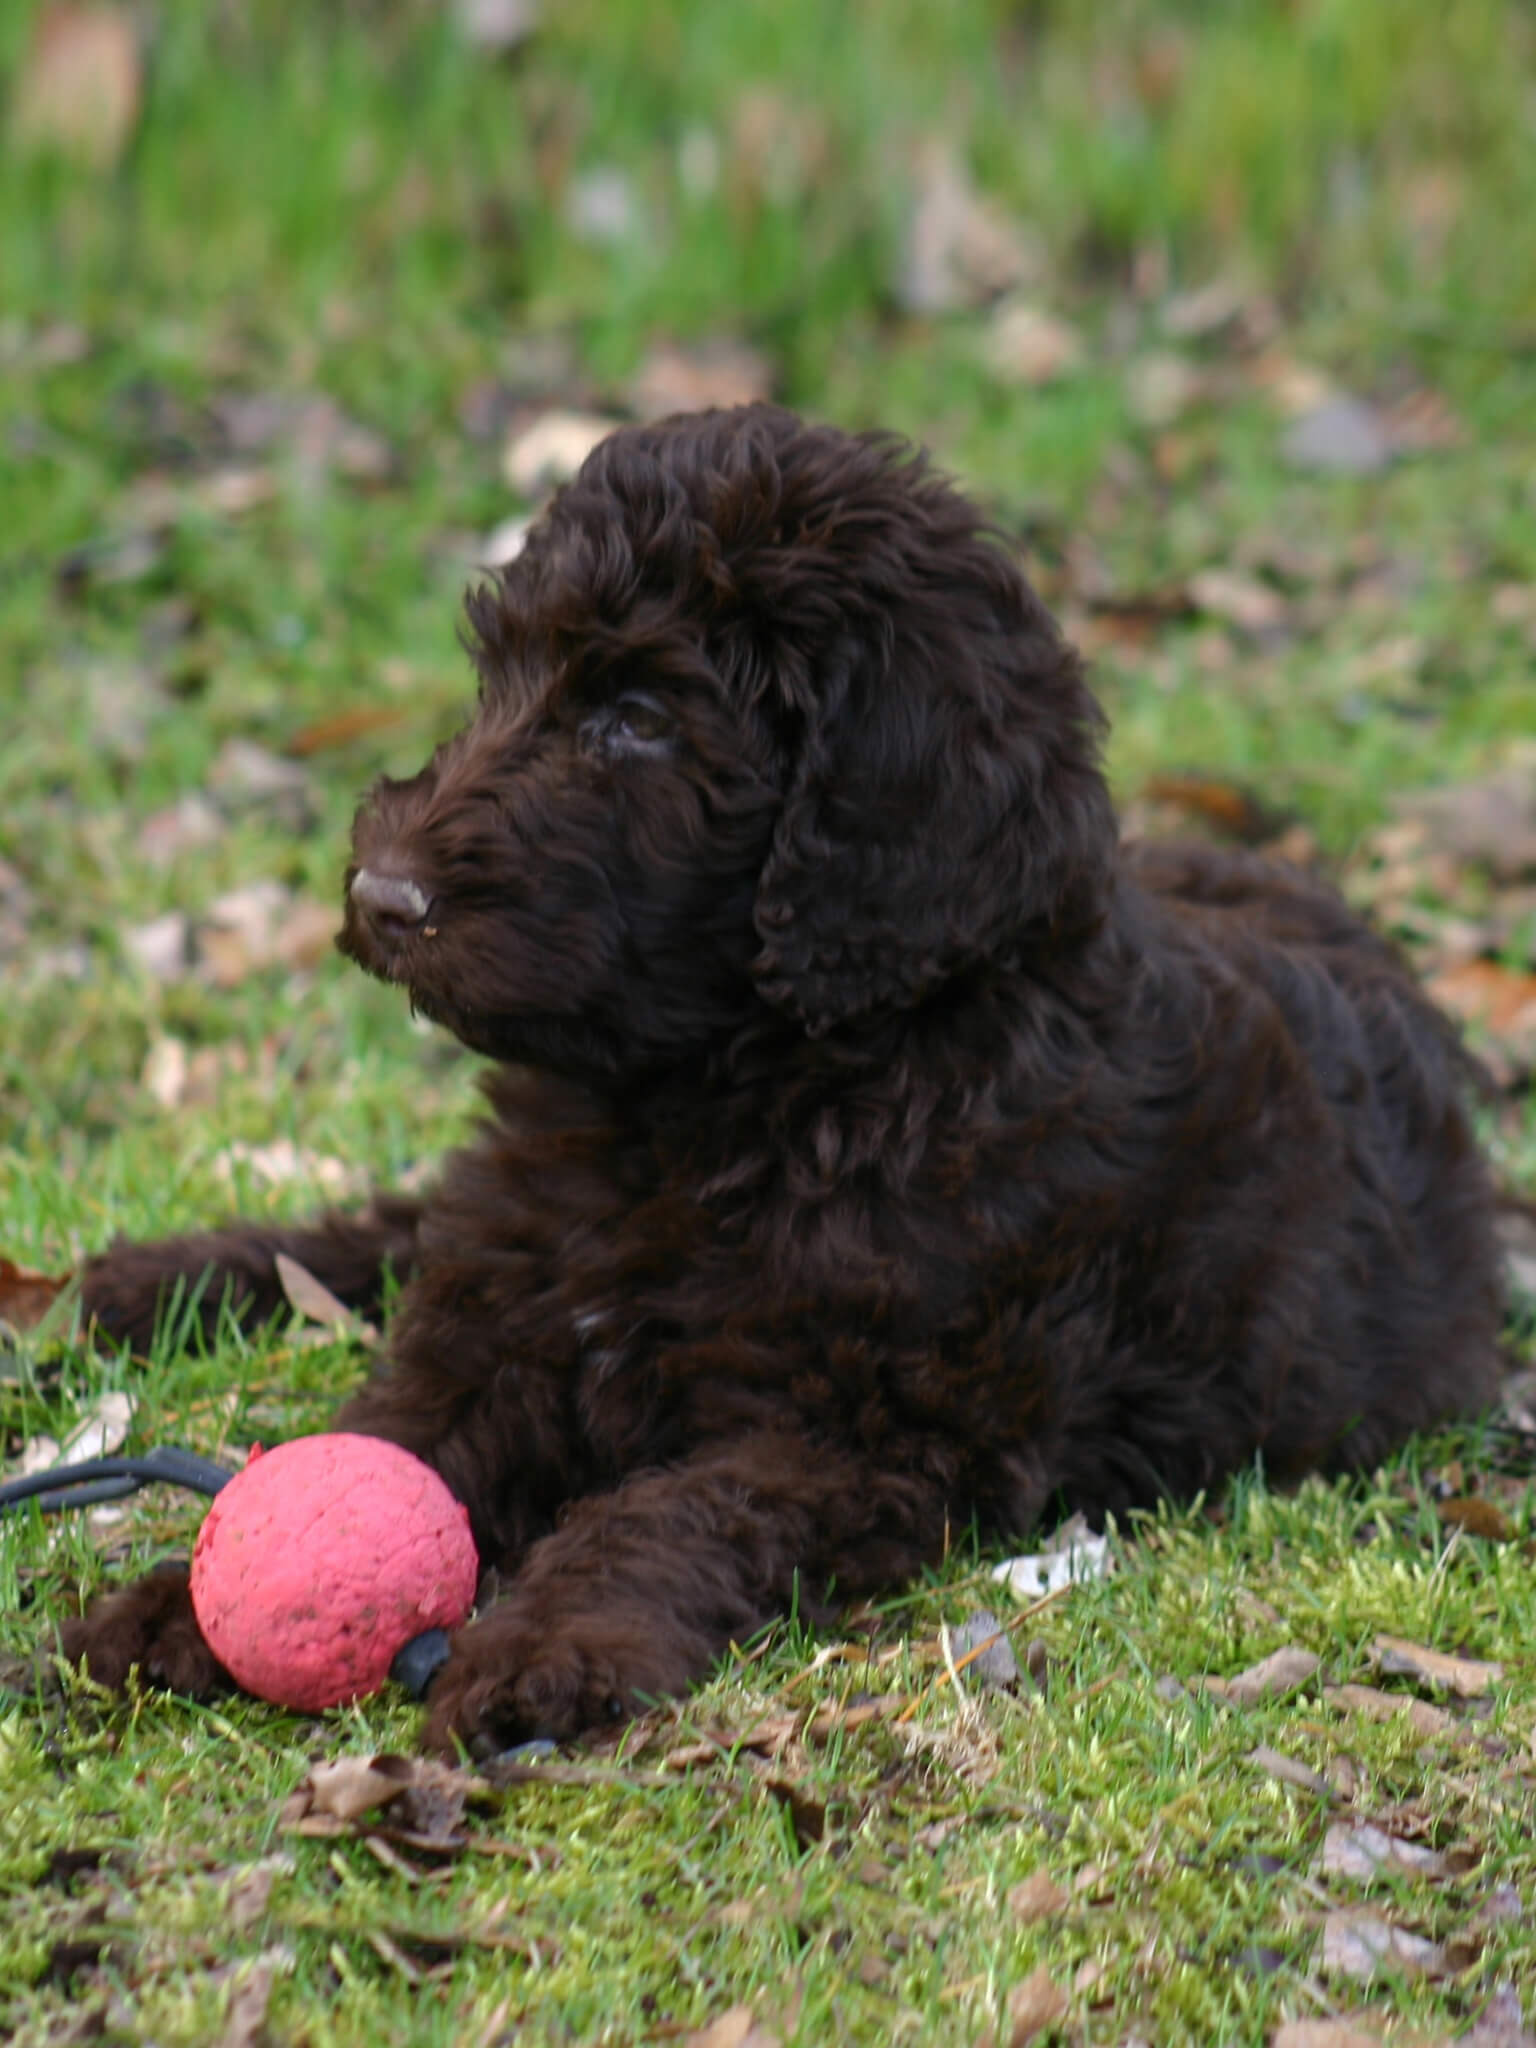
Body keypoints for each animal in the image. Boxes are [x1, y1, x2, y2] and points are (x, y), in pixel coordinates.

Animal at [69, 407, 1507, 1753]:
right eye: (501, 677)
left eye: (640, 719)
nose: (381, 894)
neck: (737, 1095)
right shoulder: (503, 1329)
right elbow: (382, 1445)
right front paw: (182, 1604)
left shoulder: (869, 1431)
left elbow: (675, 1506)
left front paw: (549, 1646)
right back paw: (144, 1281)